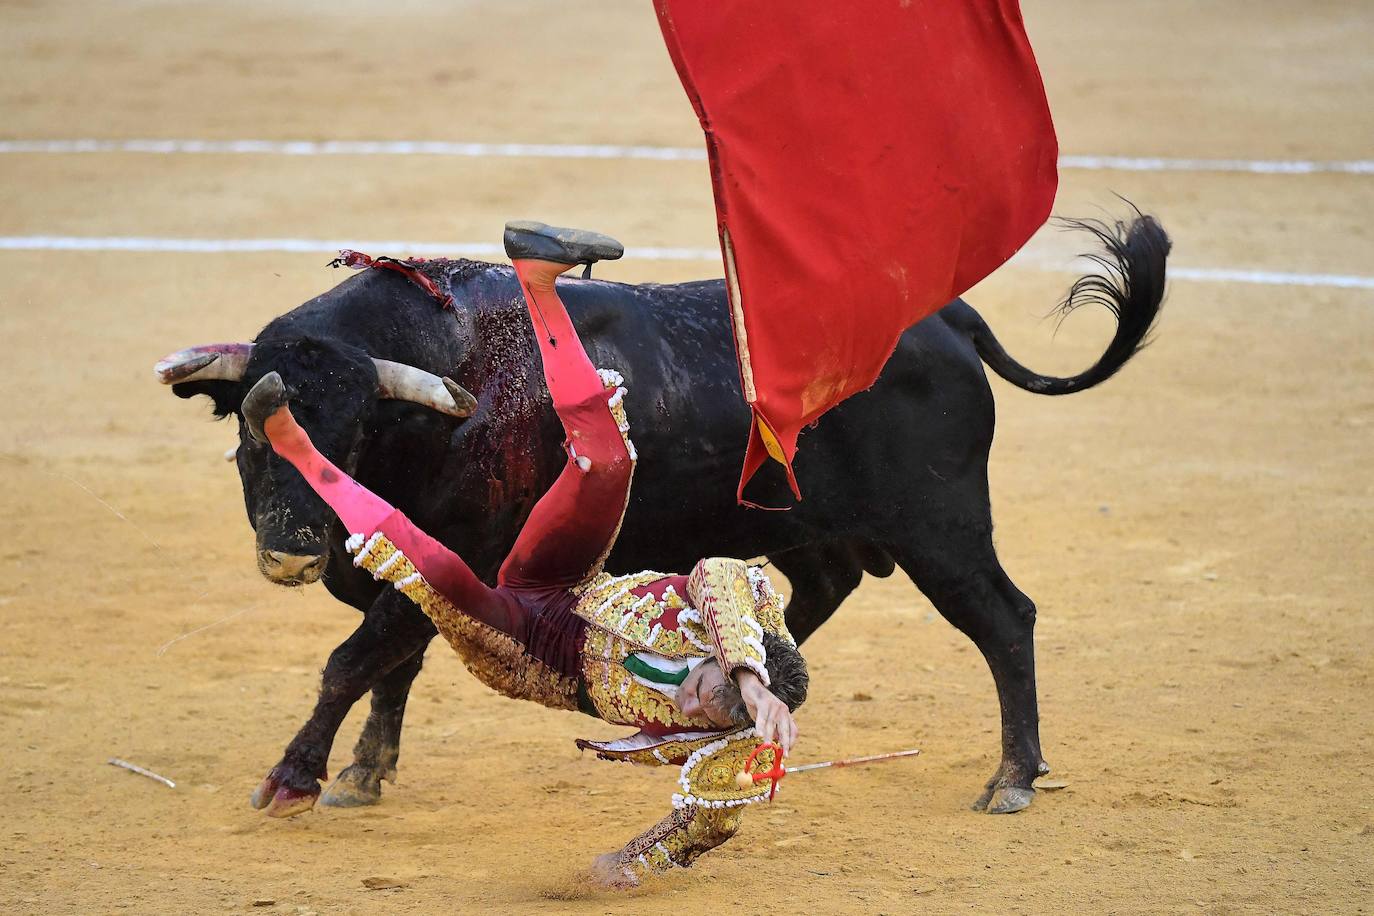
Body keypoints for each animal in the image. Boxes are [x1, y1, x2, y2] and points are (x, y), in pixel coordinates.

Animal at [163, 218, 1170, 818]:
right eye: (248, 435)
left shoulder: (449, 562)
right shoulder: (406, 575)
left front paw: (295, 776)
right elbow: (390, 668)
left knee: (1004, 619)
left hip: (942, 530)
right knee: (823, 590)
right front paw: (364, 774)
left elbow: (354, 661)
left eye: (351, 437)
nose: (292, 555)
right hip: (816, 526)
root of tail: (944, 320)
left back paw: (1013, 778)